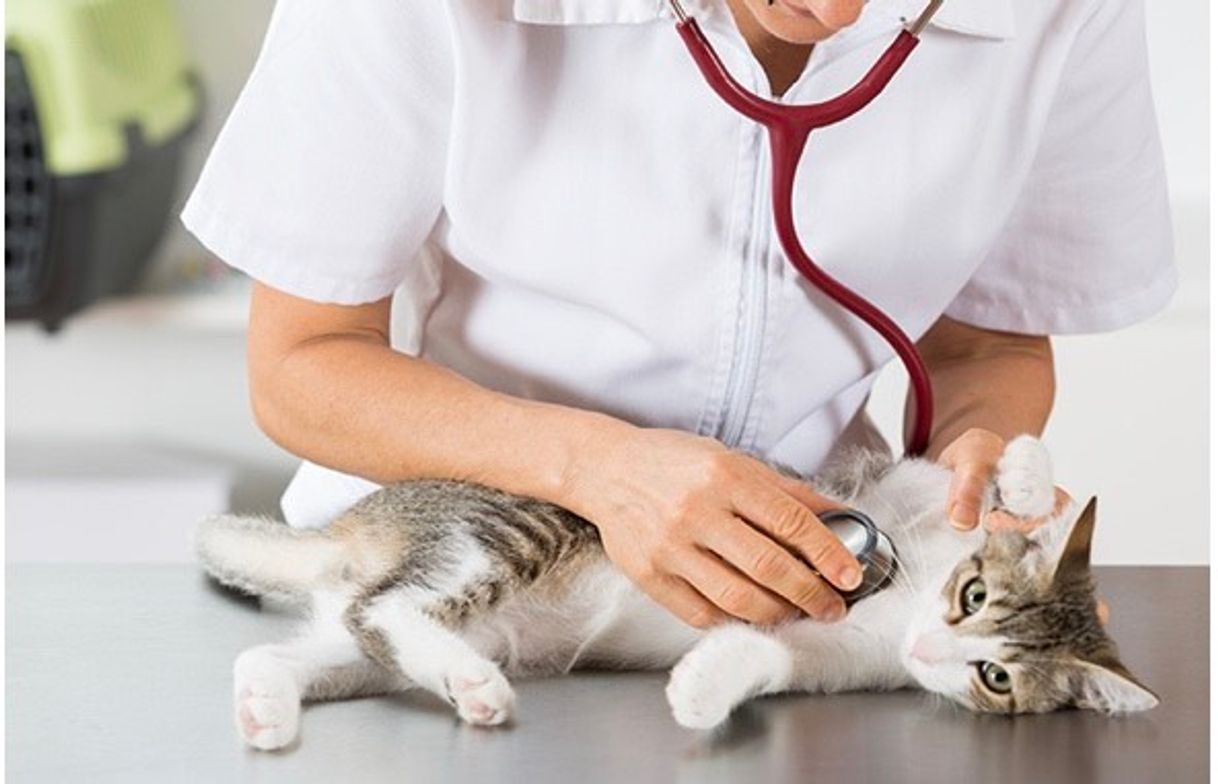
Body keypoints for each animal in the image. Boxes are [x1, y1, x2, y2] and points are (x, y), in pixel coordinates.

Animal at [194, 438, 1154, 749]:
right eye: (973, 595)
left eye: (999, 679)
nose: (934, 647)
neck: (898, 604)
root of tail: (359, 523)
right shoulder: (886, 492)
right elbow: (955, 474)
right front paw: (1023, 476)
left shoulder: (831, 656)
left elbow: (765, 653)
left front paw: (701, 689)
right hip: (504, 535)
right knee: (387, 607)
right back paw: (472, 684)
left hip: (369, 646)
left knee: (312, 641)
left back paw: (269, 709)